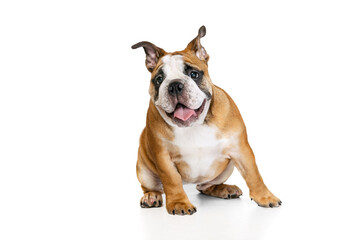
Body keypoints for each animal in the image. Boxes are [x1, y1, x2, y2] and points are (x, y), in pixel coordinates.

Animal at [132, 26, 282, 216]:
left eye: (194, 74)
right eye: (159, 79)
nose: (174, 85)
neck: (195, 125)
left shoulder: (240, 149)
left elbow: (253, 174)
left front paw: (265, 197)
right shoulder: (163, 157)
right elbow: (172, 180)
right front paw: (180, 203)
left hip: (226, 168)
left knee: (205, 186)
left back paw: (225, 189)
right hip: (143, 169)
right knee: (153, 187)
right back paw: (151, 196)